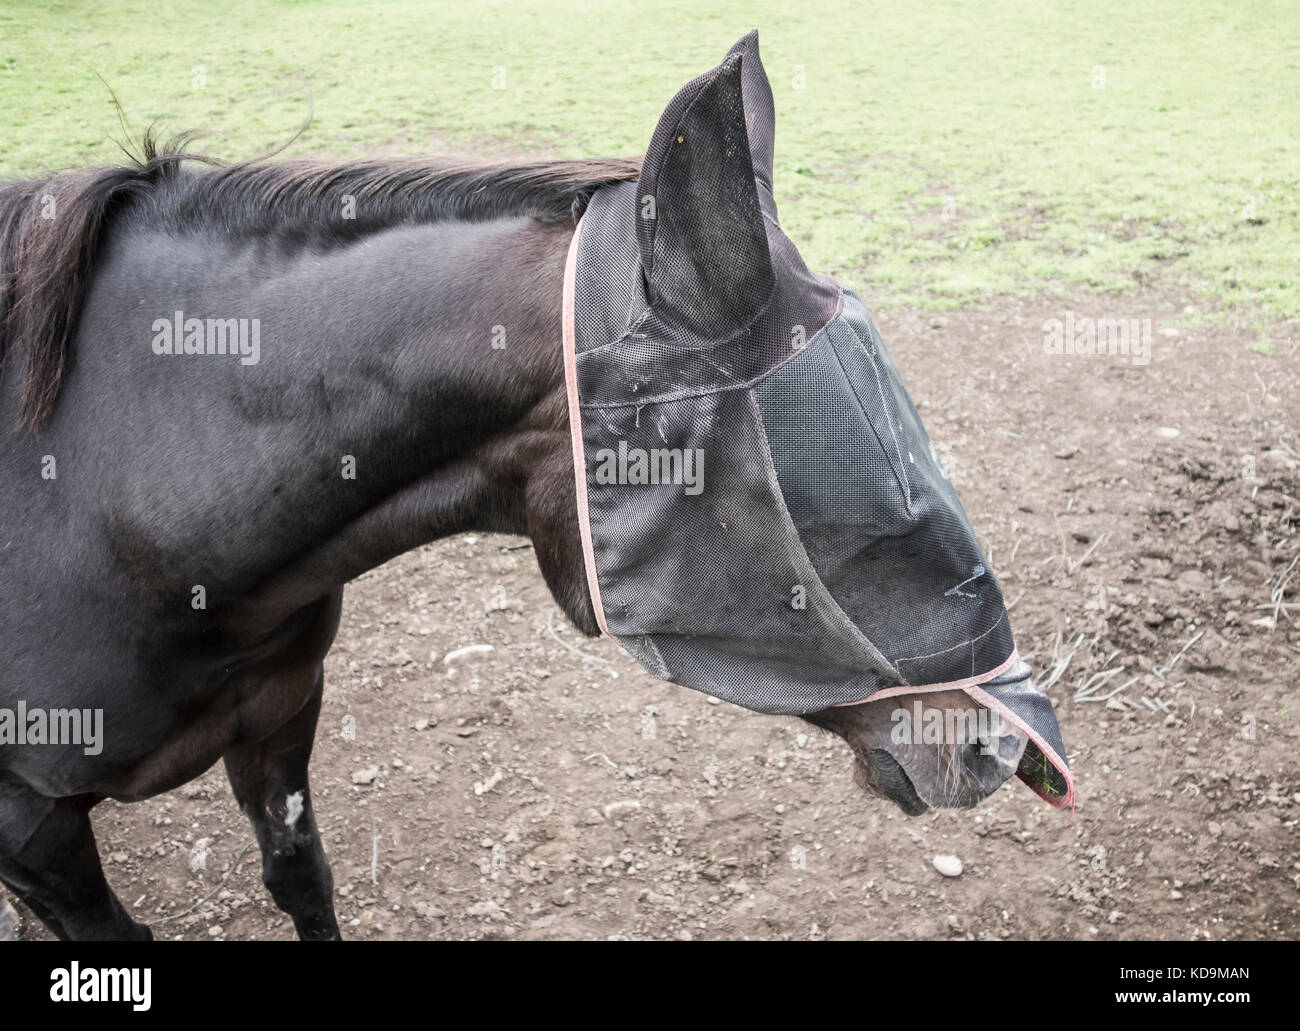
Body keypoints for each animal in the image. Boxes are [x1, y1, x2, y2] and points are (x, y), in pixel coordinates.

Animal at [0, 34, 1034, 940]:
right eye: (830, 501)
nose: (1001, 747)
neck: (118, 490)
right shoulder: (32, 825)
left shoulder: (280, 717)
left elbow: (302, 879)